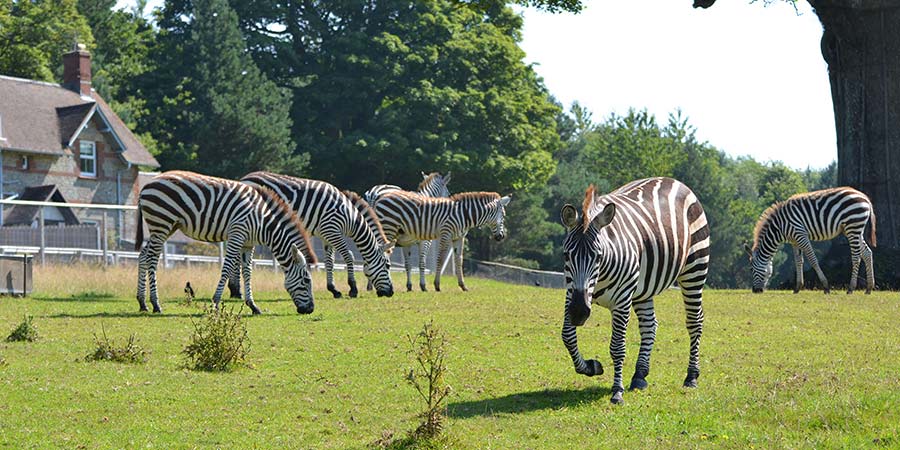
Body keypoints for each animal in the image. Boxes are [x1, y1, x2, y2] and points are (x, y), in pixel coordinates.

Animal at [134, 171, 316, 314]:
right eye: (306, 280)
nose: (310, 310)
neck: (263, 222)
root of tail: (146, 186)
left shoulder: (248, 243)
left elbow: (247, 271)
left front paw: (253, 306)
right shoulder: (237, 234)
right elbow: (227, 268)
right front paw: (215, 303)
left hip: (166, 227)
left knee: (143, 255)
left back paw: (142, 303)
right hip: (161, 223)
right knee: (152, 259)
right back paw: (156, 304)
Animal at [229, 171, 394, 298]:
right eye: (388, 265)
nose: (391, 292)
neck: (350, 217)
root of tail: (244, 178)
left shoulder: (326, 234)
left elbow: (329, 261)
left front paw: (333, 289)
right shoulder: (332, 230)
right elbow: (349, 256)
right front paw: (352, 288)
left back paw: (235, 290)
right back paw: (236, 291)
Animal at [372, 190, 510, 292]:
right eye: (503, 216)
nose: (501, 237)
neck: (464, 214)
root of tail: (381, 197)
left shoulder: (459, 238)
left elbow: (459, 260)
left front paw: (463, 285)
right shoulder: (446, 234)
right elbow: (441, 259)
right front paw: (437, 285)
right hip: (388, 228)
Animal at [564, 178, 712, 404]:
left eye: (598, 256)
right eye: (566, 255)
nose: (579, 313)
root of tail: (674, 181)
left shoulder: (622, 300)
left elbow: (617, 347)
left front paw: (617, 392)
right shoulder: (571, 294)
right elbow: (567, 336)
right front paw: (591, 367)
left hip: (695, 268)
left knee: (695, 321)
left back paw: (691, 376)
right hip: (644, 289)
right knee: (650, 325)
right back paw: (640, 375)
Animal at [744, 185, 880, 294]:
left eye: (751, 269)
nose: (755, 291)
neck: (780, 227)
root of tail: (864, 197)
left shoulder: (800, 234)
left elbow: (812, 259)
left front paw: (826, 287)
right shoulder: (794, 240)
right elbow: (798, 261)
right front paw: (797, 288)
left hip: (853, 226)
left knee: (856, 257)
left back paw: (851, 288)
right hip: (854, 230)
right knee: (867, 253)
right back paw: (869, 288)